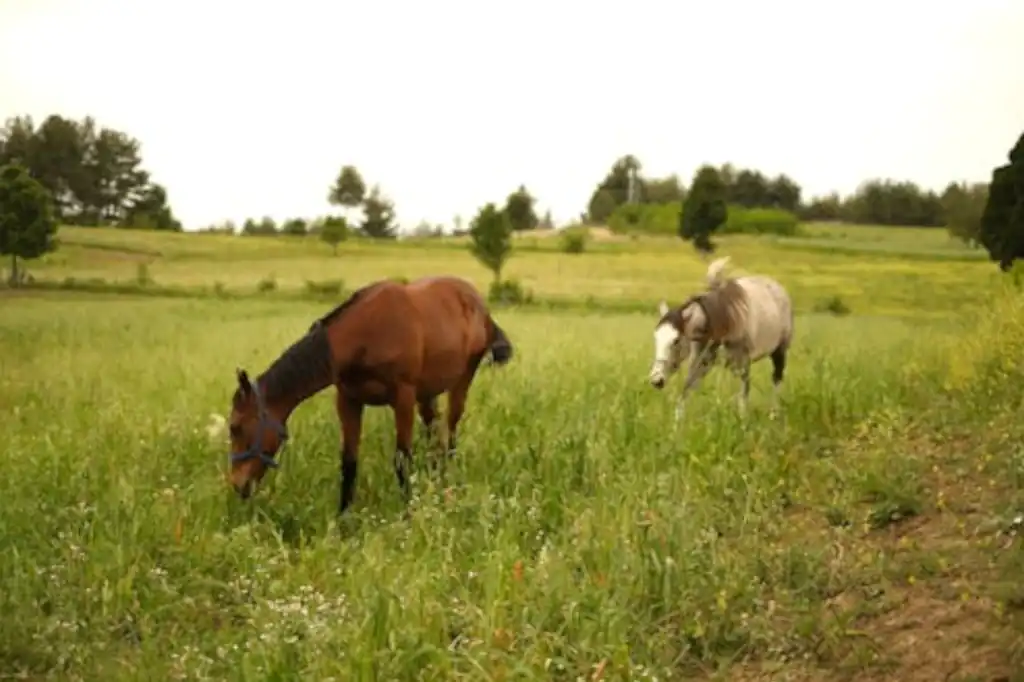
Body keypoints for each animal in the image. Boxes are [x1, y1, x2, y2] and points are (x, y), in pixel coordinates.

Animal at [226, 275, 515, 514]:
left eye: (235, 427)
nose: (238, 485)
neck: (367, 334)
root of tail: (480, 306)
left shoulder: (403, 399)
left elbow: (402, 460)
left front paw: (407, 512)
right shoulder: (348, 401)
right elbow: (349, 463)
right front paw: (343, 521)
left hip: (461, 380)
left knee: (450, 430)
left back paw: (447, 477)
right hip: (428, 393)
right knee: (434, 433)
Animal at [648, 256, 794, 420]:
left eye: (676, 340)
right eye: (656, 337)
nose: (656, 380)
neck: (723, 320)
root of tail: (778, 288)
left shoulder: (743, 363)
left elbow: (743, 396)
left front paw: (742, 421)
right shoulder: (701, 363)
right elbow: (686, 391)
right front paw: (677, 424)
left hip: (779, 352)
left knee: (777, 379)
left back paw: (774, 413)